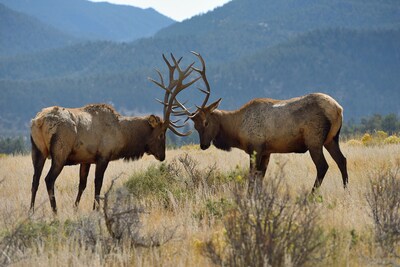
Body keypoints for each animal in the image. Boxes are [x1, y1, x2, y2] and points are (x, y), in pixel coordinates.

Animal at [28, 54, 198, 214]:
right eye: (161, 134)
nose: (162, 156)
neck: (123, 136)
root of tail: (39, 121)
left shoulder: (86, 159)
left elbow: (82, 184)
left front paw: (75, 208)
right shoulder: (103, 156)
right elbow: (98, 184)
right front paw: (96, 209)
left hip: (37, 150)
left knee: (35, 179)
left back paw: (31, 211)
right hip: (60, 152)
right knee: (48, 179)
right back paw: (55, 211)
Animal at [181, 52, 346, 195]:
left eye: (206, 122)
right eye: (195, 126)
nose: (203, 145)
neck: (237, 131)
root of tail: (338, 109)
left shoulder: (256, 148)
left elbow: (252, 177)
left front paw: (249, 198)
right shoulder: (267, 151)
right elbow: (260, 177)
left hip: (314, 139)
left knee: (323, 166)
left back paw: (311, 195)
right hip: (332, 139)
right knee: (342, 160)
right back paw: (346, 190)